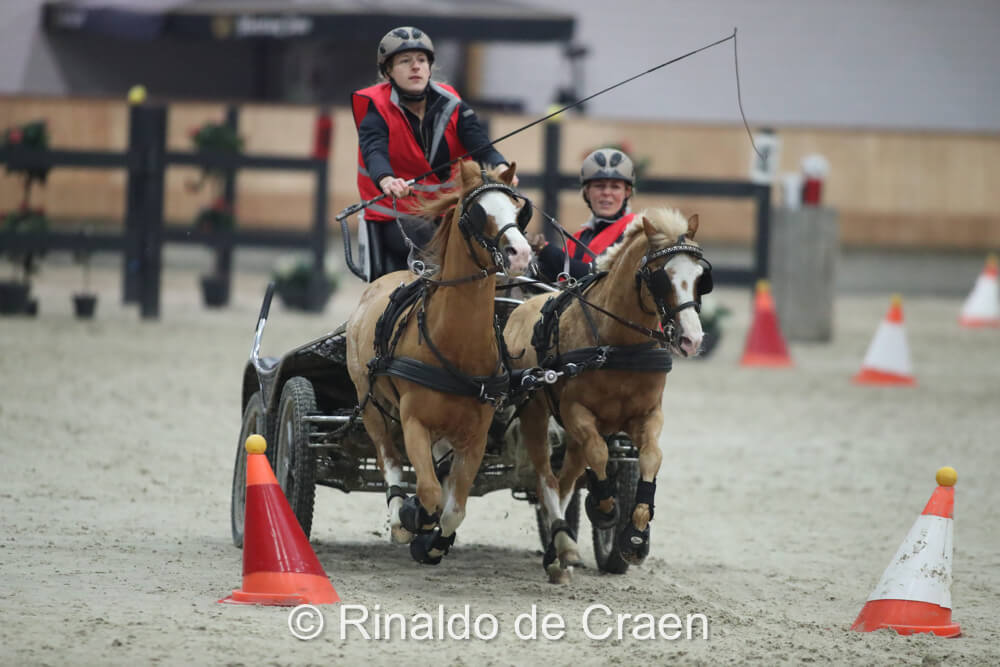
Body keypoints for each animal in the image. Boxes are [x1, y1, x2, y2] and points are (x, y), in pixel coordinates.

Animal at [348, 160, 532, 564]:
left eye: (518, 211)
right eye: (477, 213)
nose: (521, 254)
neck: (456, 346)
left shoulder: (475, 436)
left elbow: (454, 509)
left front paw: (432, 543)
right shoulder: (413, 422)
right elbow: (429, 493)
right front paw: (411, 519)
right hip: (370, 404)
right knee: (389, 459)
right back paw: (399, 515)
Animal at [504, 209, 708, 584]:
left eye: (701, 277)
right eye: (662, 277)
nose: (692, 339)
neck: (616, 345)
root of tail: (521, 308)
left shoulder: (647, 415)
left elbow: (651, 458)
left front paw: (635, 536)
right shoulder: (576, 412)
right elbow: (598, 455)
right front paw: (604, 508)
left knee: (565, 479)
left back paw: (561, 547)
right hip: (536, 413)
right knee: (547, 478)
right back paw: (562, 543)